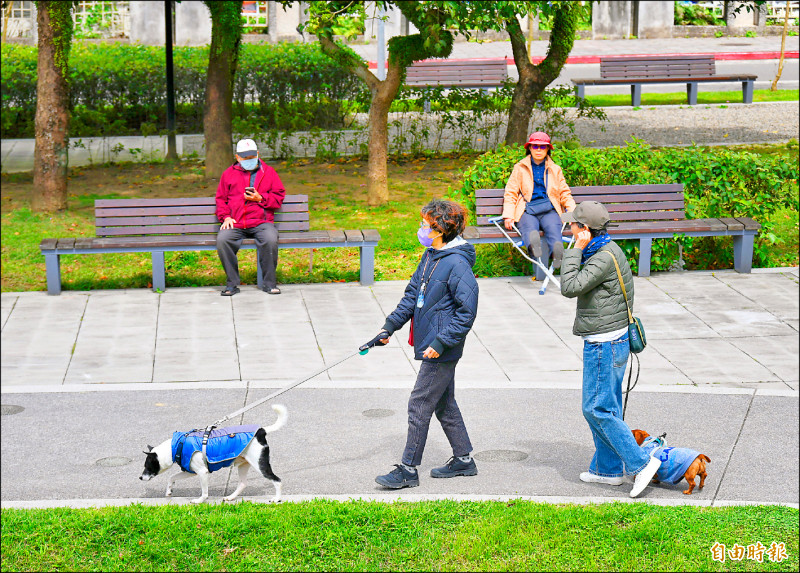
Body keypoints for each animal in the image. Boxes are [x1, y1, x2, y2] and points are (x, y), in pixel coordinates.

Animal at [141, 402, 288, 500]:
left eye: (147, 466)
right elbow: (172, 477)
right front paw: (169, 491)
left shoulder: (202, 472)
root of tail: (261, 431)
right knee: (243, 484)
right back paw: (230, 497)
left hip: (260, 464)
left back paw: (277, 499)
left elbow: (205, 492)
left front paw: (199, 501)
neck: (177, 445)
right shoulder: (191, 471)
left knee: (277, 480)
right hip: (244, 464)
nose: (140, 477)